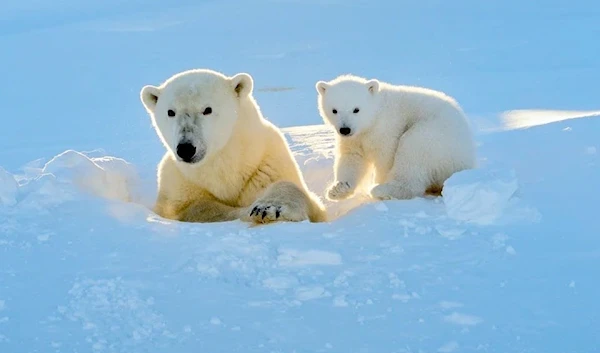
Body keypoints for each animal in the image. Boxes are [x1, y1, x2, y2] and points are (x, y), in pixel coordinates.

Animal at [141, 68, 328, 223]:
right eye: (170, 112)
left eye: (207, 109)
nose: (186, 148)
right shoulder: (178, 182)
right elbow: (195, 208)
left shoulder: (267, 165)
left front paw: (269, 208)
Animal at [316, 74, 476, 201]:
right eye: (334, 110)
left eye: (356, 109)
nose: (345, 129)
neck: (374, 117)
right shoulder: (354, 139)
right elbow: (352, 158)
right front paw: (338, 189)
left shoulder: (387, 129)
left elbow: (385, 159)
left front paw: (378, 181)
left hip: (436, 137)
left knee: (412, 150)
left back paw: (382, 190)